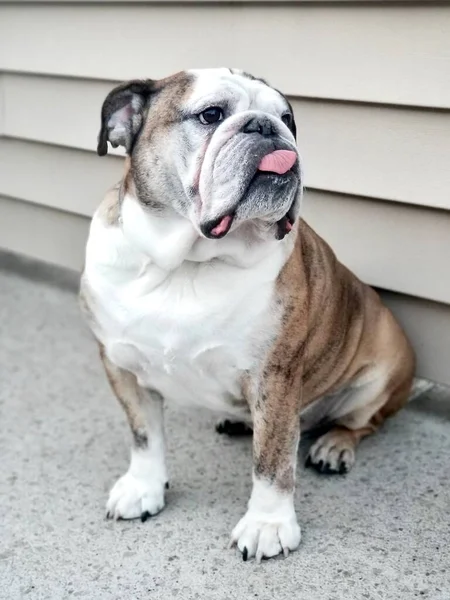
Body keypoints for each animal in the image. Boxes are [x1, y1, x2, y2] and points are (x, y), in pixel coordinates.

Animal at [80, 69, 414, 564]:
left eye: (288, 119)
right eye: (210, 114)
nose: (266, 127)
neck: (187, 264)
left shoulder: (274, 376)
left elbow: (272, 462)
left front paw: (267, 525)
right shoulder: (121, 365)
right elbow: (144, 436)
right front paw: (143, 488)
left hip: (380, 376)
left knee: (362, 423)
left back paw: (334, 445)